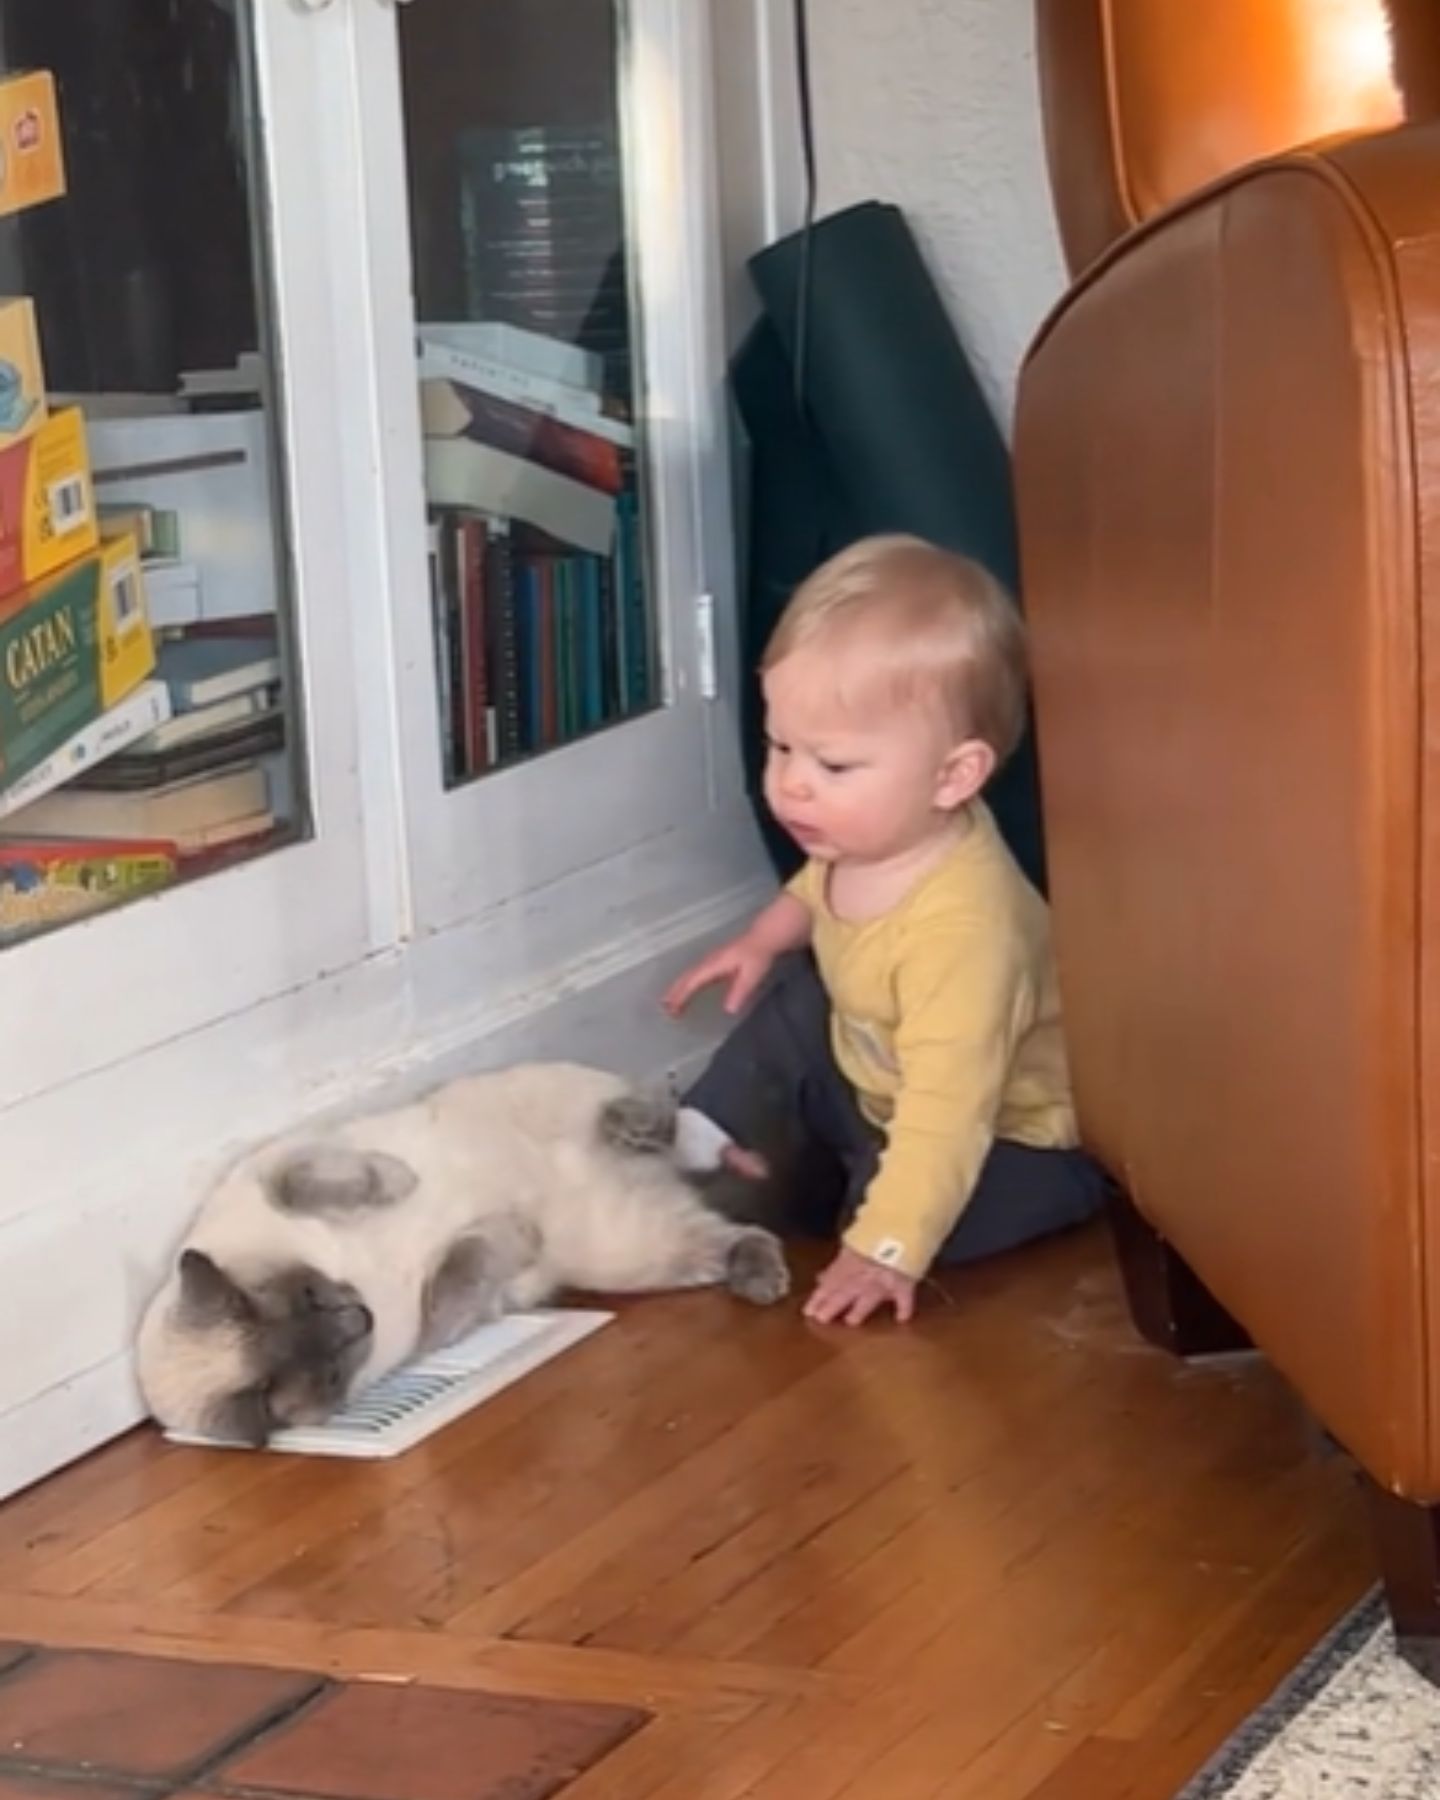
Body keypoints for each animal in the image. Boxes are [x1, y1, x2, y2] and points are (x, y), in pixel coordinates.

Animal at [135, 1051, 788, 1447]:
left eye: (312, 1295)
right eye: (330, 1375)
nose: (363, 1315)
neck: (365, 1283)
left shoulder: (282, 1165)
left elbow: (321, 1182)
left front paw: (401, 1183)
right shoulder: (484, 1292)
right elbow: (456, 1284)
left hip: (558, 1104)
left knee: (656, 1111)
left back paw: (644, 1123)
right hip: (628, 1254)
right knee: (735, 1231)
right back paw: (763, 1279)